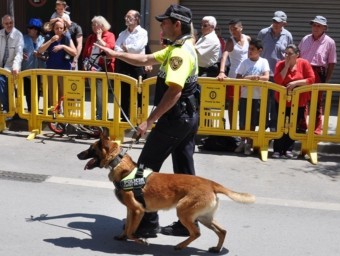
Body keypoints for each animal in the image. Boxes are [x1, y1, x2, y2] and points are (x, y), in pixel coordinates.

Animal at [77, 133, 255, 253]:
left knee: (196, 232)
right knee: (222, 231)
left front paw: (140, 240)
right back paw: (216, 249)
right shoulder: (130, 210)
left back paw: (180, 246)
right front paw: (122, 237)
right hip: (204, 217)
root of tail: (211, 183)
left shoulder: (138, 210)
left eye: (91, 149)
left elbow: (130, 230)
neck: (120, 165)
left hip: (183, 211)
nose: (78, 154)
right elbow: (127, 227)